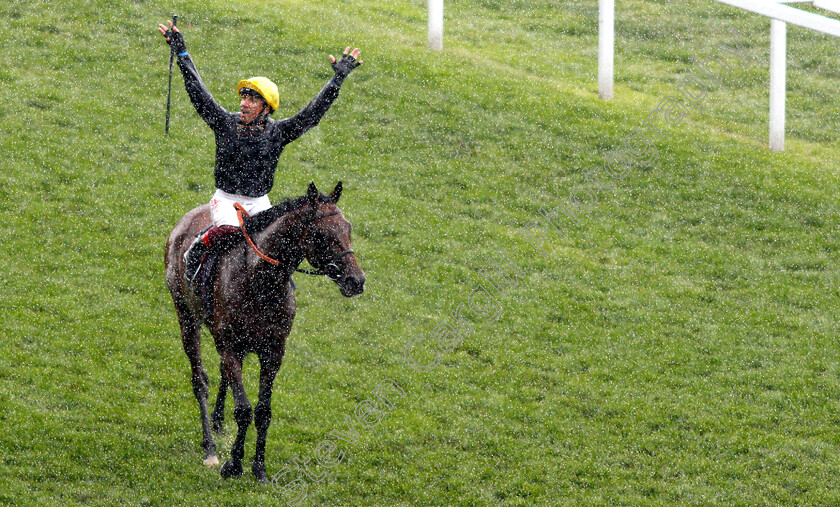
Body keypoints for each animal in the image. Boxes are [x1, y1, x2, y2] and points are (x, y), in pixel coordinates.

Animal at [164, 182, 364, 480]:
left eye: (348, 228)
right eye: (321, 235)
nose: (357, 281)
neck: (259, 281)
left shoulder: (273, 351)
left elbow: (263, 411)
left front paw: (259, 466)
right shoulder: (231, 345)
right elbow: (244, 409)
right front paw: (234, 464)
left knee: (222, 375)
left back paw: (218, 421)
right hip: (186, 316)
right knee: (200, 381)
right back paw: (210, 447)